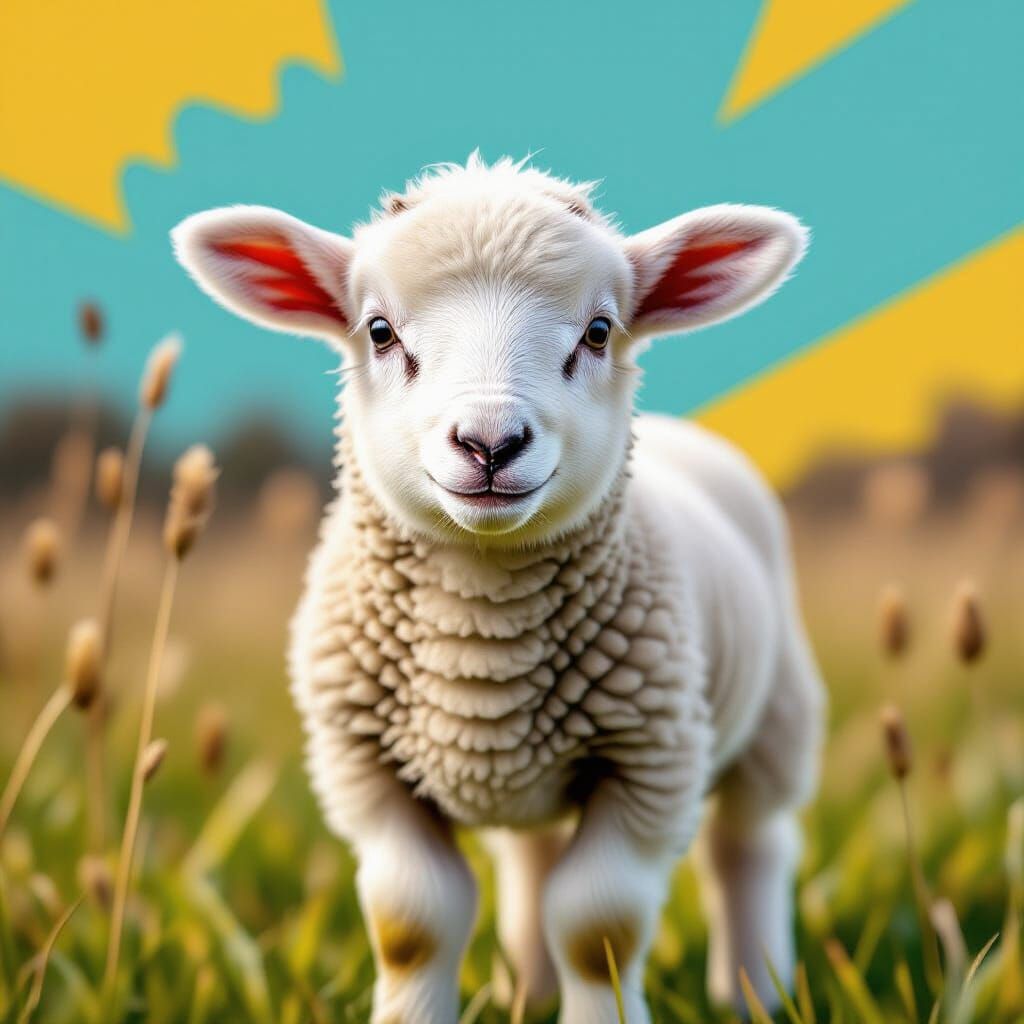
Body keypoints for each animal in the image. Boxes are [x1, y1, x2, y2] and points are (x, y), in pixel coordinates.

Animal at [172, 155, 825, 1024]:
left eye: (599, 332)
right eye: (379, 331)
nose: (489, 443)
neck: (478, 623)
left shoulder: (649, 763)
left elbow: (597, 922)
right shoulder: (364, 769)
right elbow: (412, 921)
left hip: (777, 716)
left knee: (749, 845)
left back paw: (754, 990)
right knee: (532, 860)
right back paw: (528, 990)